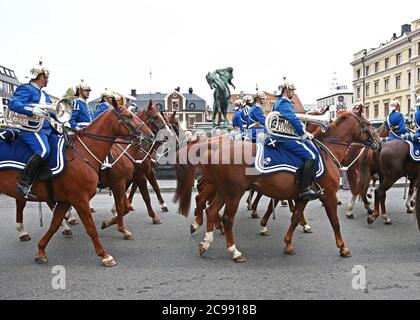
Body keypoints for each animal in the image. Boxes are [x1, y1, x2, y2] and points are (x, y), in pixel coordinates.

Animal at [0, 98, 154, 268]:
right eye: (128, 116)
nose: (150, 135)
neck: (83, 153)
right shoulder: (83, 198)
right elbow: (93, 226)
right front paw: (105, 254)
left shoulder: (66, 200)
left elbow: (54, 224)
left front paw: (41, 251)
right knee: (21, 202)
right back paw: (23, 230)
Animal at [174, 109, 378, 262]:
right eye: (368, 125)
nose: (378, 143)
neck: (326, 153)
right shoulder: (328, 195)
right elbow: (335, 222)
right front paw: (343, 248)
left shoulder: (302, 195)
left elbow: (295, 218)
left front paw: (288, 243)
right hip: (233, 193)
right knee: (225, 217)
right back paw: (234, 251)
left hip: (224, 191)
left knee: (210, 210)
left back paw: (205, 242)